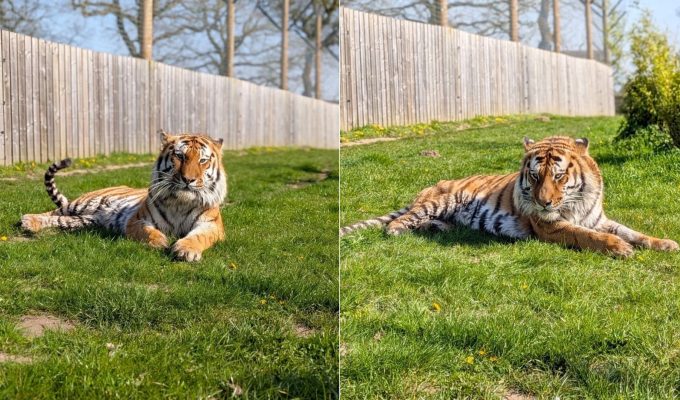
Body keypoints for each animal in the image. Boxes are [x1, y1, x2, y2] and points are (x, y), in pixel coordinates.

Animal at [20, 130, 228, 262]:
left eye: (203, 160)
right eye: (180, 156)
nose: (188, 179)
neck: (181, 202)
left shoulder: (211, 225)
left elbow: (198, 237)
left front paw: (186, 250)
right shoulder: (137, 220)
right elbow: (148, 232)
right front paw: (160, 242)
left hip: (85, 220)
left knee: (60, 220)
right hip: (82, 204)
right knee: (52, 212)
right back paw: (28, 220)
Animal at [340, 136, 679, 257]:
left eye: (558, 176)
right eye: (535, 176)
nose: (543, 202)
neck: (577, 201)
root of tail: (429, 187)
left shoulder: (599, 219)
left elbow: (633, 232)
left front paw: (666, 244)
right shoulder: (550, 226)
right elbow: (586, 236)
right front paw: (619, 248)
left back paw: (443, 229)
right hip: (439, 201)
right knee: (401, 222)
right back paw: (399, 231)